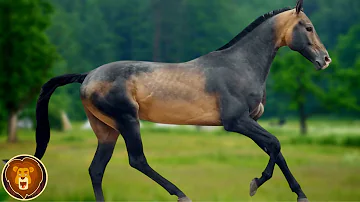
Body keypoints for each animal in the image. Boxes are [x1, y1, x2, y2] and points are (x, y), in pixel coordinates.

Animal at [29, 0, 330, 201]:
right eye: (308, 27)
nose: (325, 60)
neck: (240, 66)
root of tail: (88, 76)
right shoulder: (236, 121)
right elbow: (275, 144)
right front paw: (256, 183)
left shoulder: (250, 121)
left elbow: (275, 150)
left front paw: (300, 193)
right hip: (127, 121)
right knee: (137, 160)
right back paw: (181, 194)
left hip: (106, 130)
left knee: (96, 169)